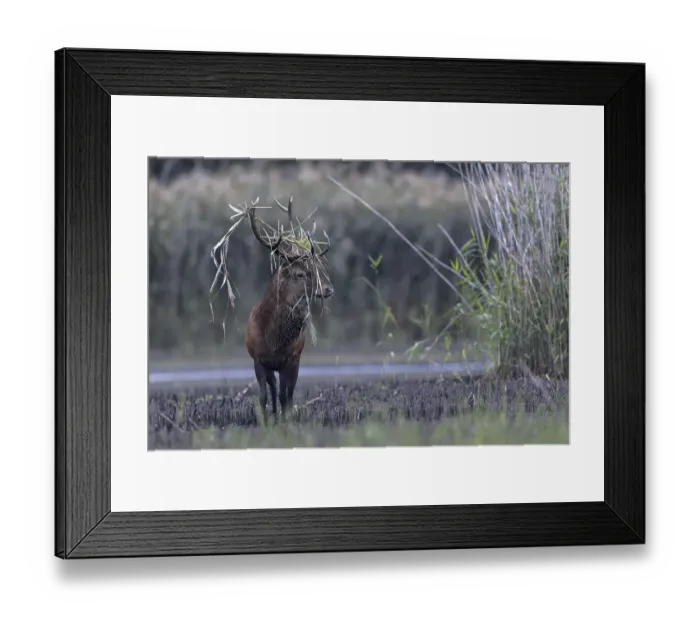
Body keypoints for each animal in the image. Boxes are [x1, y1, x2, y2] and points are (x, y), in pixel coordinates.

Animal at [244, 195, 333, 422]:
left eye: (317, 268)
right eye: (300, 273)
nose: (329, 288)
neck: (273, 341)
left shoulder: (291, 359)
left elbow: (287, 397)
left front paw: (285, 422)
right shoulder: (258, 360)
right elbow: (263, 397)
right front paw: (266, 422)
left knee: (286, 393)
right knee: (274, 389)